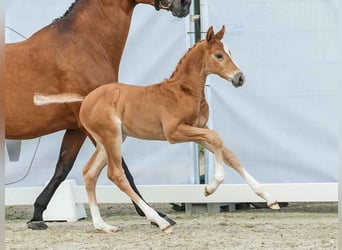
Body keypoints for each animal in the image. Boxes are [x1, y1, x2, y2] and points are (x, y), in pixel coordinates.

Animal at [5, 0, 191, 230]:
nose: (185, 5)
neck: (85, 44)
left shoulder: (76, 128)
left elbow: (62, 168)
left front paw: (37, 215)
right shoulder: (99, 126)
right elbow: (123, 169)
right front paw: (155, 216)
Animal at [34, 26, 280, 233]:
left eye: (230, 52)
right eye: (219, 55)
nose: (240, 78)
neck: (184, 90)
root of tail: (86, 99)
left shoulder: (197, 130)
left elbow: (230, 155)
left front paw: (269, 198)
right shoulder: (175, 133)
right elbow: (217, 139)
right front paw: (211, 188)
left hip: (110, 140)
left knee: (89, 173)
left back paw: (103, 226)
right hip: (111, 137)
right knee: (116, 175)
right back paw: (160, 221)